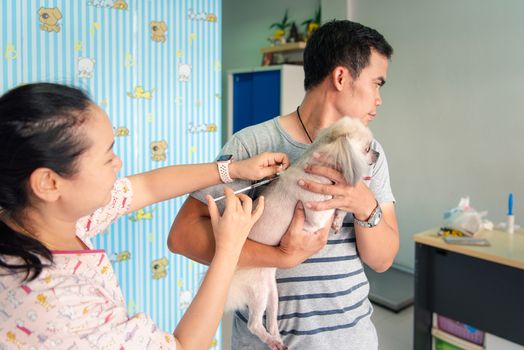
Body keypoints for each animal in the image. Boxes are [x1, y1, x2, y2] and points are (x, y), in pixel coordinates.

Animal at [223, 116, 378, 348]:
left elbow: (341, 206)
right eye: (367, 148)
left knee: (271, 320)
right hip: (258, 290)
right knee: (254, 324)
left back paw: (277, 339)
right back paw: (269, 339)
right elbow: (328, 210)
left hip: (272, 293)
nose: (377, 154)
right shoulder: (315, 214)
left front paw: (339, 219)